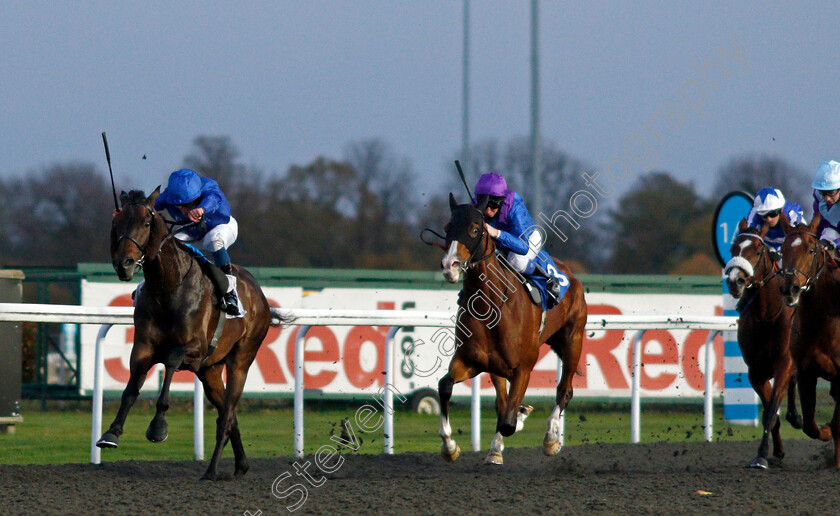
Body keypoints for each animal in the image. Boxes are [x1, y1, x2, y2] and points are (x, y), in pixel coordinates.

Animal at [98, 188, 270, 480]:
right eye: (116, 223)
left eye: (146, 223)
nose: (124, 263)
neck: (167, 286)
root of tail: (259, 294)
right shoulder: (143, 348)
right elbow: (131, 389)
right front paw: (111, 433)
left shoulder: (193, 349)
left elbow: (169, 363)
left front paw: (158, 427)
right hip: (210, 370)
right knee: (228, 413)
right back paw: (240, 465)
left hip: (241, 359)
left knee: (227, 415)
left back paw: (211, 470)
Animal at [436, 192, 588, 464]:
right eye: (447, 228)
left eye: (475, 229)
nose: (449, 266)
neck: (491, 306)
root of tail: (571, 275)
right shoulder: (471, 360)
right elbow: (445, 386)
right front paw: (450, 446)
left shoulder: (523, 367)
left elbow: (508, 422)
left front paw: (522, 418)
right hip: (497, 366)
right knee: (502, 400)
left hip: (573, 339)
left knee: (564, 391)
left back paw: (550, 439)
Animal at [720, 218, 800, 468]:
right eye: (733, 249)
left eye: (757, 251)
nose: (735, 282)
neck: (766, 316)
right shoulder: (756, 371)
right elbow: (769, 414)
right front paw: (773, 452)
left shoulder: (783, 363)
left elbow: (771, 409)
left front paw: (762, 454)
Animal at [776, 213, 840, 468]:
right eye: (782, 249)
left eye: (812, 250)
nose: (790, 289)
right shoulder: (805, 372)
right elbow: (810, 426)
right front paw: (826, 430)